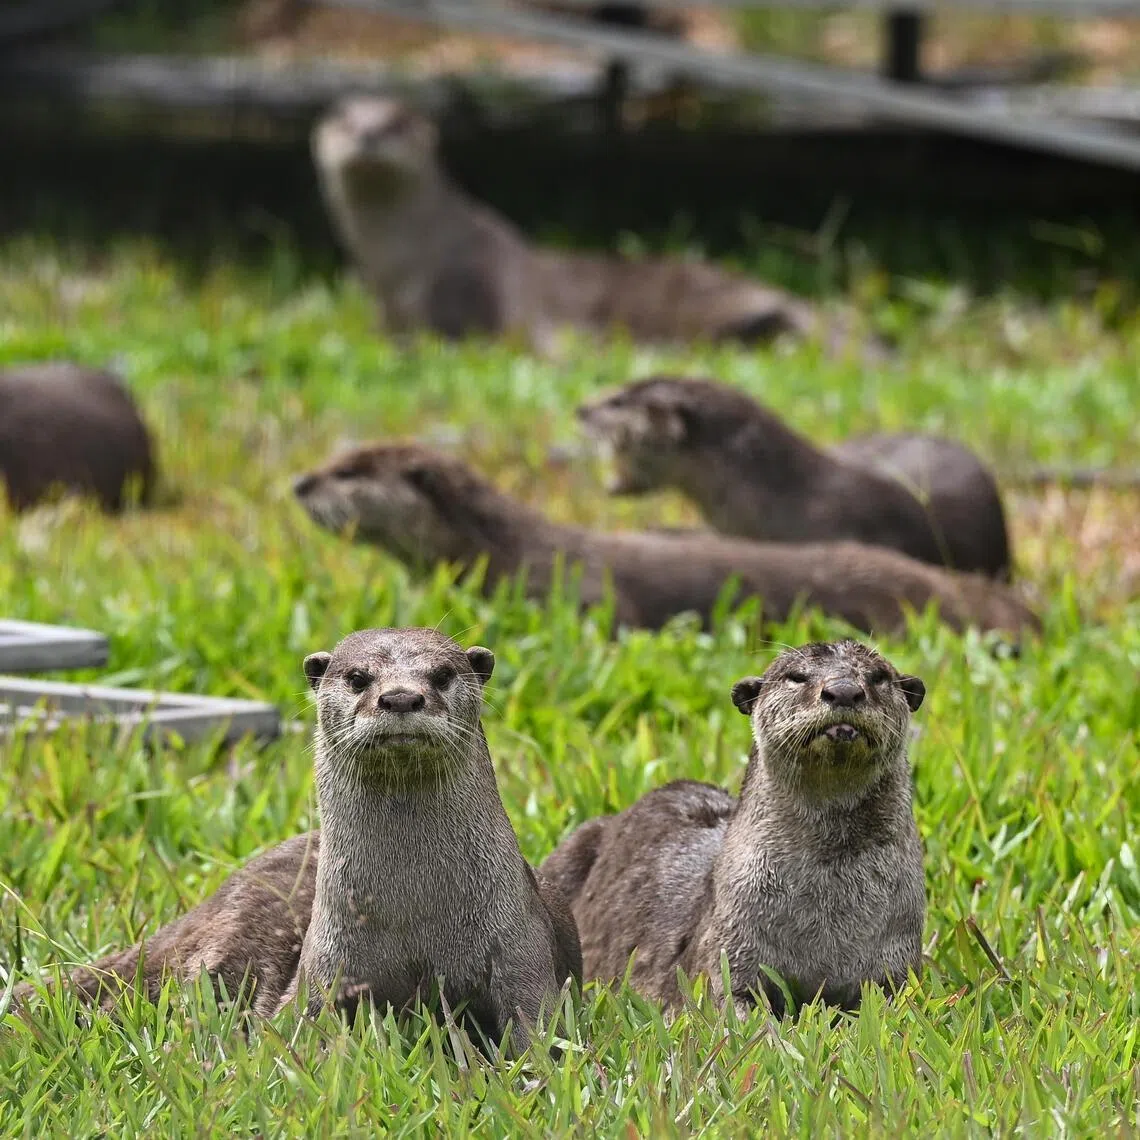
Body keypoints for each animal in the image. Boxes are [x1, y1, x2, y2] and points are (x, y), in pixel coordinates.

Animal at [15, 629, 581, 1050]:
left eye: (443, 674)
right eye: (358, 677)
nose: (400, 697)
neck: (416, 914)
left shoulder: (519, 950)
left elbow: (540, 1031)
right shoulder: (325, 967)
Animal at [311, 96, 884, 357]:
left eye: (397, 123)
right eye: (343, 119)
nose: (367, 133)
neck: (403, 263)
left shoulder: (464, 290)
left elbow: (455, 335)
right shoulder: (386, 305)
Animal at [540, 639, 927, 1015]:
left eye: (878, 676)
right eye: (796, 676)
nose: (844, 690)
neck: (829, 913)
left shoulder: (896, 961)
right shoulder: (729, 951)